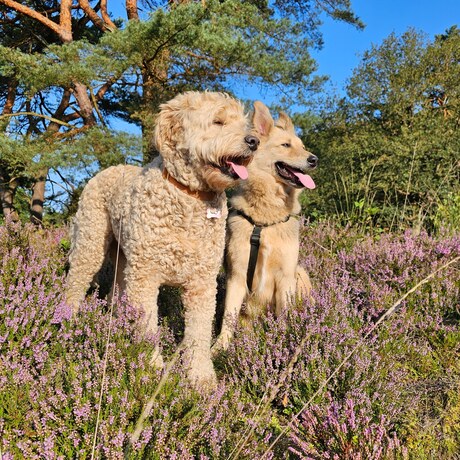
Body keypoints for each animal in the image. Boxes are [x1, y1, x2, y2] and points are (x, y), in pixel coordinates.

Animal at [65, 90, 258, 384]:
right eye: (218, 121)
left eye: (244, 122)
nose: (254, 141)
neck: (189, 196)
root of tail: (110, 168)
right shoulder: (146, 277)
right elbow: (147, 327)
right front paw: (150, 368)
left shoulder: (202, 283)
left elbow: (199, 333)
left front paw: (201, 378)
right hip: (92, 244)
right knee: (75, 284)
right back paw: (66, 320)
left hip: (125, 262)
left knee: (115, 293)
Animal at [213, 101, 316, 352]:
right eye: (286, 145)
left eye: (303, 146)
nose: (314, 159)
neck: (265, 220)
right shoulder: (237, 276)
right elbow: (228, 318)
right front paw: (219, 348)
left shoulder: (286, 277)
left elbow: (285, 315)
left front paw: (284, 341)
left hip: (301, 273)